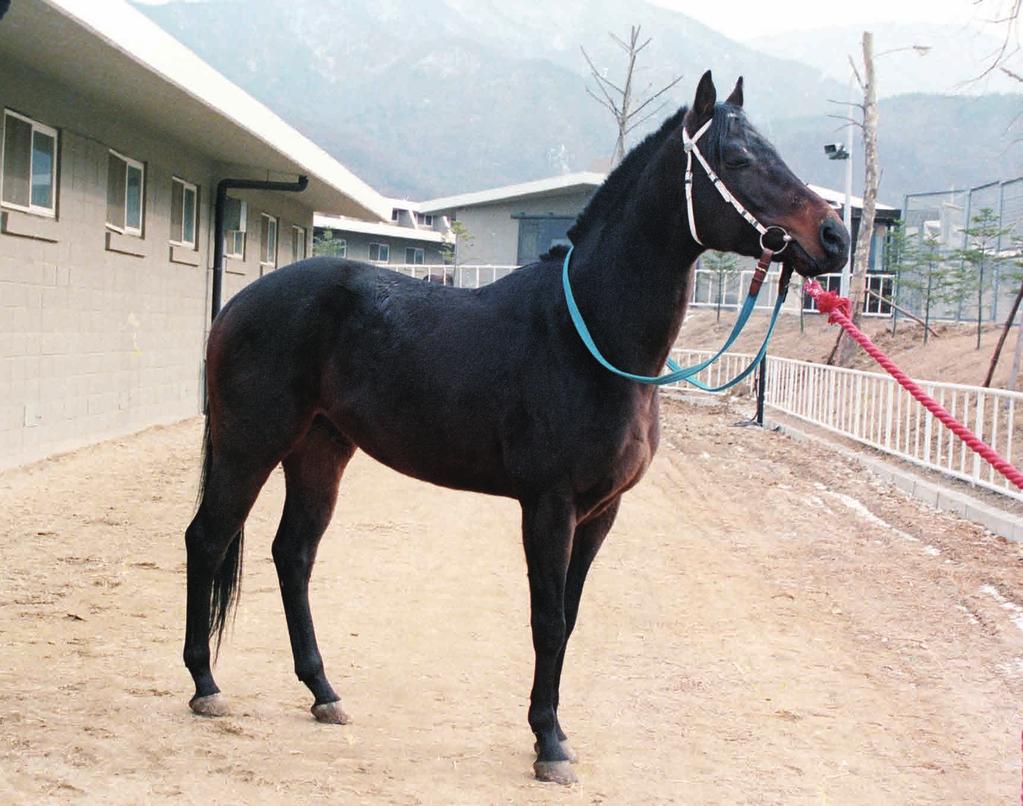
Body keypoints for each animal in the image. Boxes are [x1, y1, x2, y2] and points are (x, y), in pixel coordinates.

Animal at [184, 72, 847, 785]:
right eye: (741, 160)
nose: (835, 236)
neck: (588, 336)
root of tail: (237, 305)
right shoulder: (550, 505)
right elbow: (548, 620)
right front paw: (549, 744)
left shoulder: (600, 512)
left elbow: (570, 618)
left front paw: (552, 731)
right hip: (250, 446)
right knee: (207, 539)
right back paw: (205, 685)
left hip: (321, 451)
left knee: (293, 554)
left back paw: (323, 692)